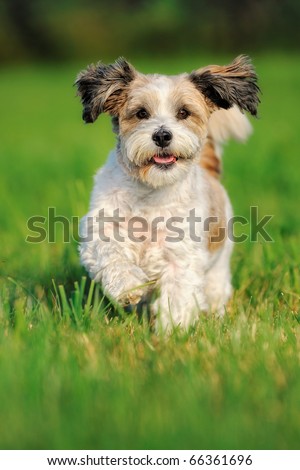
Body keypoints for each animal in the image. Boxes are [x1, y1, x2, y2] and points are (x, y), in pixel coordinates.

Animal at [74, 55, 258, 332]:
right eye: (141, 113)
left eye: (183, 112)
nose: (162, 135)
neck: (151, 191)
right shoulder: (101, 228)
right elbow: (111, 253)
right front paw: (128, 286)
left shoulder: (181, 256)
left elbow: (177, 295)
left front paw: (172, 332)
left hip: (218, 267)